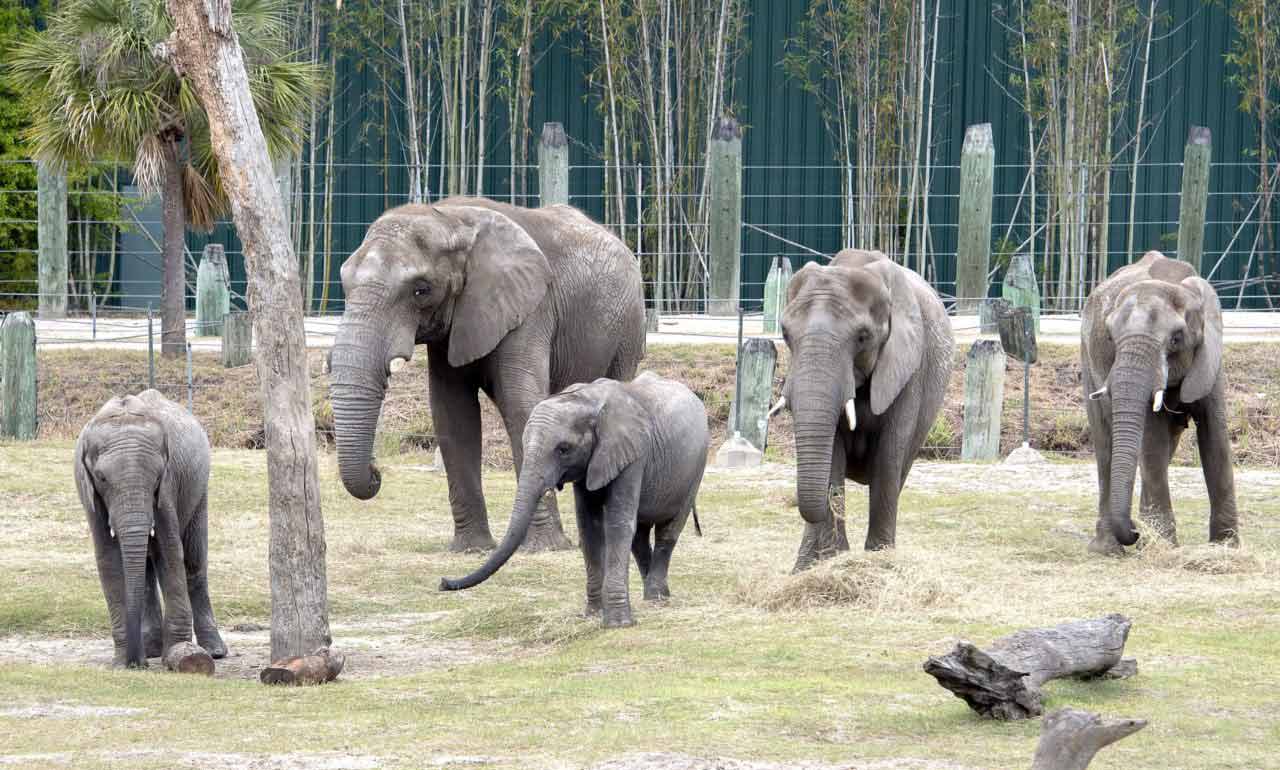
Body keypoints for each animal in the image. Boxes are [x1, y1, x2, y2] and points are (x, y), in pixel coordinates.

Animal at [73, 389, 226, 668]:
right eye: (101, 478)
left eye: (156, 477)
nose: (137, 663)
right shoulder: (86, 489)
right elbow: (108, 559)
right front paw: (123, 663)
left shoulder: (168, 485)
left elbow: (170, 552)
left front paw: (176, 653)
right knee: (145, 564)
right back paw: (152, 647)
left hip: (200, 490)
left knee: (193, 561)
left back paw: (213, 651)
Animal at [329, 197, 646, 554]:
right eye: (344, 284)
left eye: (421, 290)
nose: (376, 471)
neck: (451, 219)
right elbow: (452, 414)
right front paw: (471, 549)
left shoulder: (530, 310)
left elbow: (522, 407)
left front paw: (543, 548)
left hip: (628, 329)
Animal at [439, 372, 709, 628]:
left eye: (563, 449)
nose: (442, 582)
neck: (586, 399)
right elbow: (589, 526)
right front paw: (593, 615)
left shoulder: (633, 453)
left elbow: (618, 524)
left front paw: (618, 624)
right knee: (639, 537)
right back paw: (651, 595)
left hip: (695, 469)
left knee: (667, 531)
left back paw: (657, 597)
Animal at [769, 248, 953, 571]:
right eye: (785, 334)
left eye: (863, 337)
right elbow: (832, 453)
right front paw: (833, 559)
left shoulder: (910, 367)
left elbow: (889, 453)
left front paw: (880, 561)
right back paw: (804, 567)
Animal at [1080, 250, 1238, 553]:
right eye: (1110, 337)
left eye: (1176, 339)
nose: (1132, 530)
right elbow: (1151, 438)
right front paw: (1163, 545)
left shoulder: (1210, 358)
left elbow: (1215, 434)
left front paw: (1226, 547)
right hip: (1086, 358)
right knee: (1106, 444)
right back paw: (1110, 547)